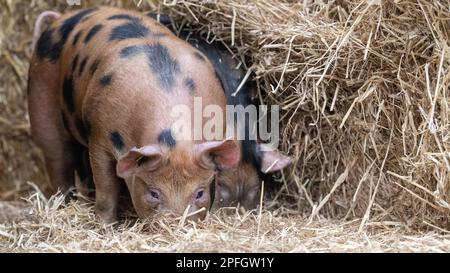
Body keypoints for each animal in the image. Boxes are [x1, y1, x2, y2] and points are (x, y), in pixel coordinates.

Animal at [27, 6, 243, 222]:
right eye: (153, 193)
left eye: (199, 193)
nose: (174, 223)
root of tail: (60, 19)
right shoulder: (99, 136)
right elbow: (106, 188)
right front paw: (106, 225)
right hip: (41, 100)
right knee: (58, 160)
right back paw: (62, 205)